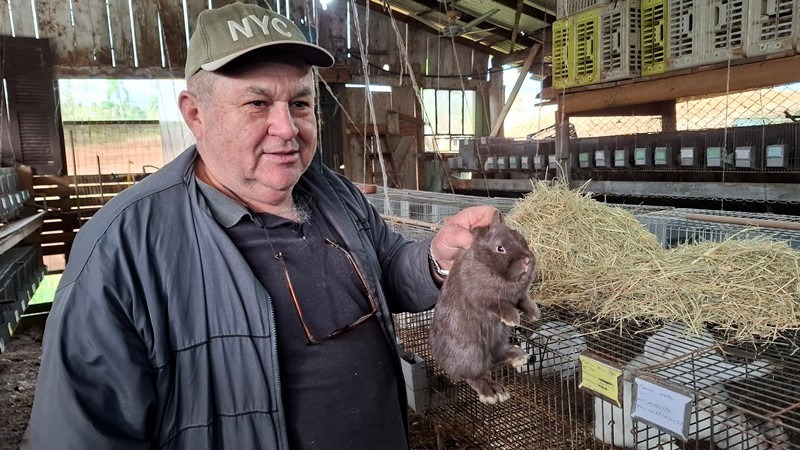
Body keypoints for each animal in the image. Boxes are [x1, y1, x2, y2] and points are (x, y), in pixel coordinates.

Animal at [428, 210, 540, 404]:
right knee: (474, 375)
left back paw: (518, 356)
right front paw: (512, 318)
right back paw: (492, 392)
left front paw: (534, 313)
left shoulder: (518, 295)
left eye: (520, 237)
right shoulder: (483, 297)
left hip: (498, 342)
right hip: (472, 352)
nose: (526, 261)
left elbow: (523, 300)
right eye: (500, 248)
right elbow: (498, 304)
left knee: (494, 361)